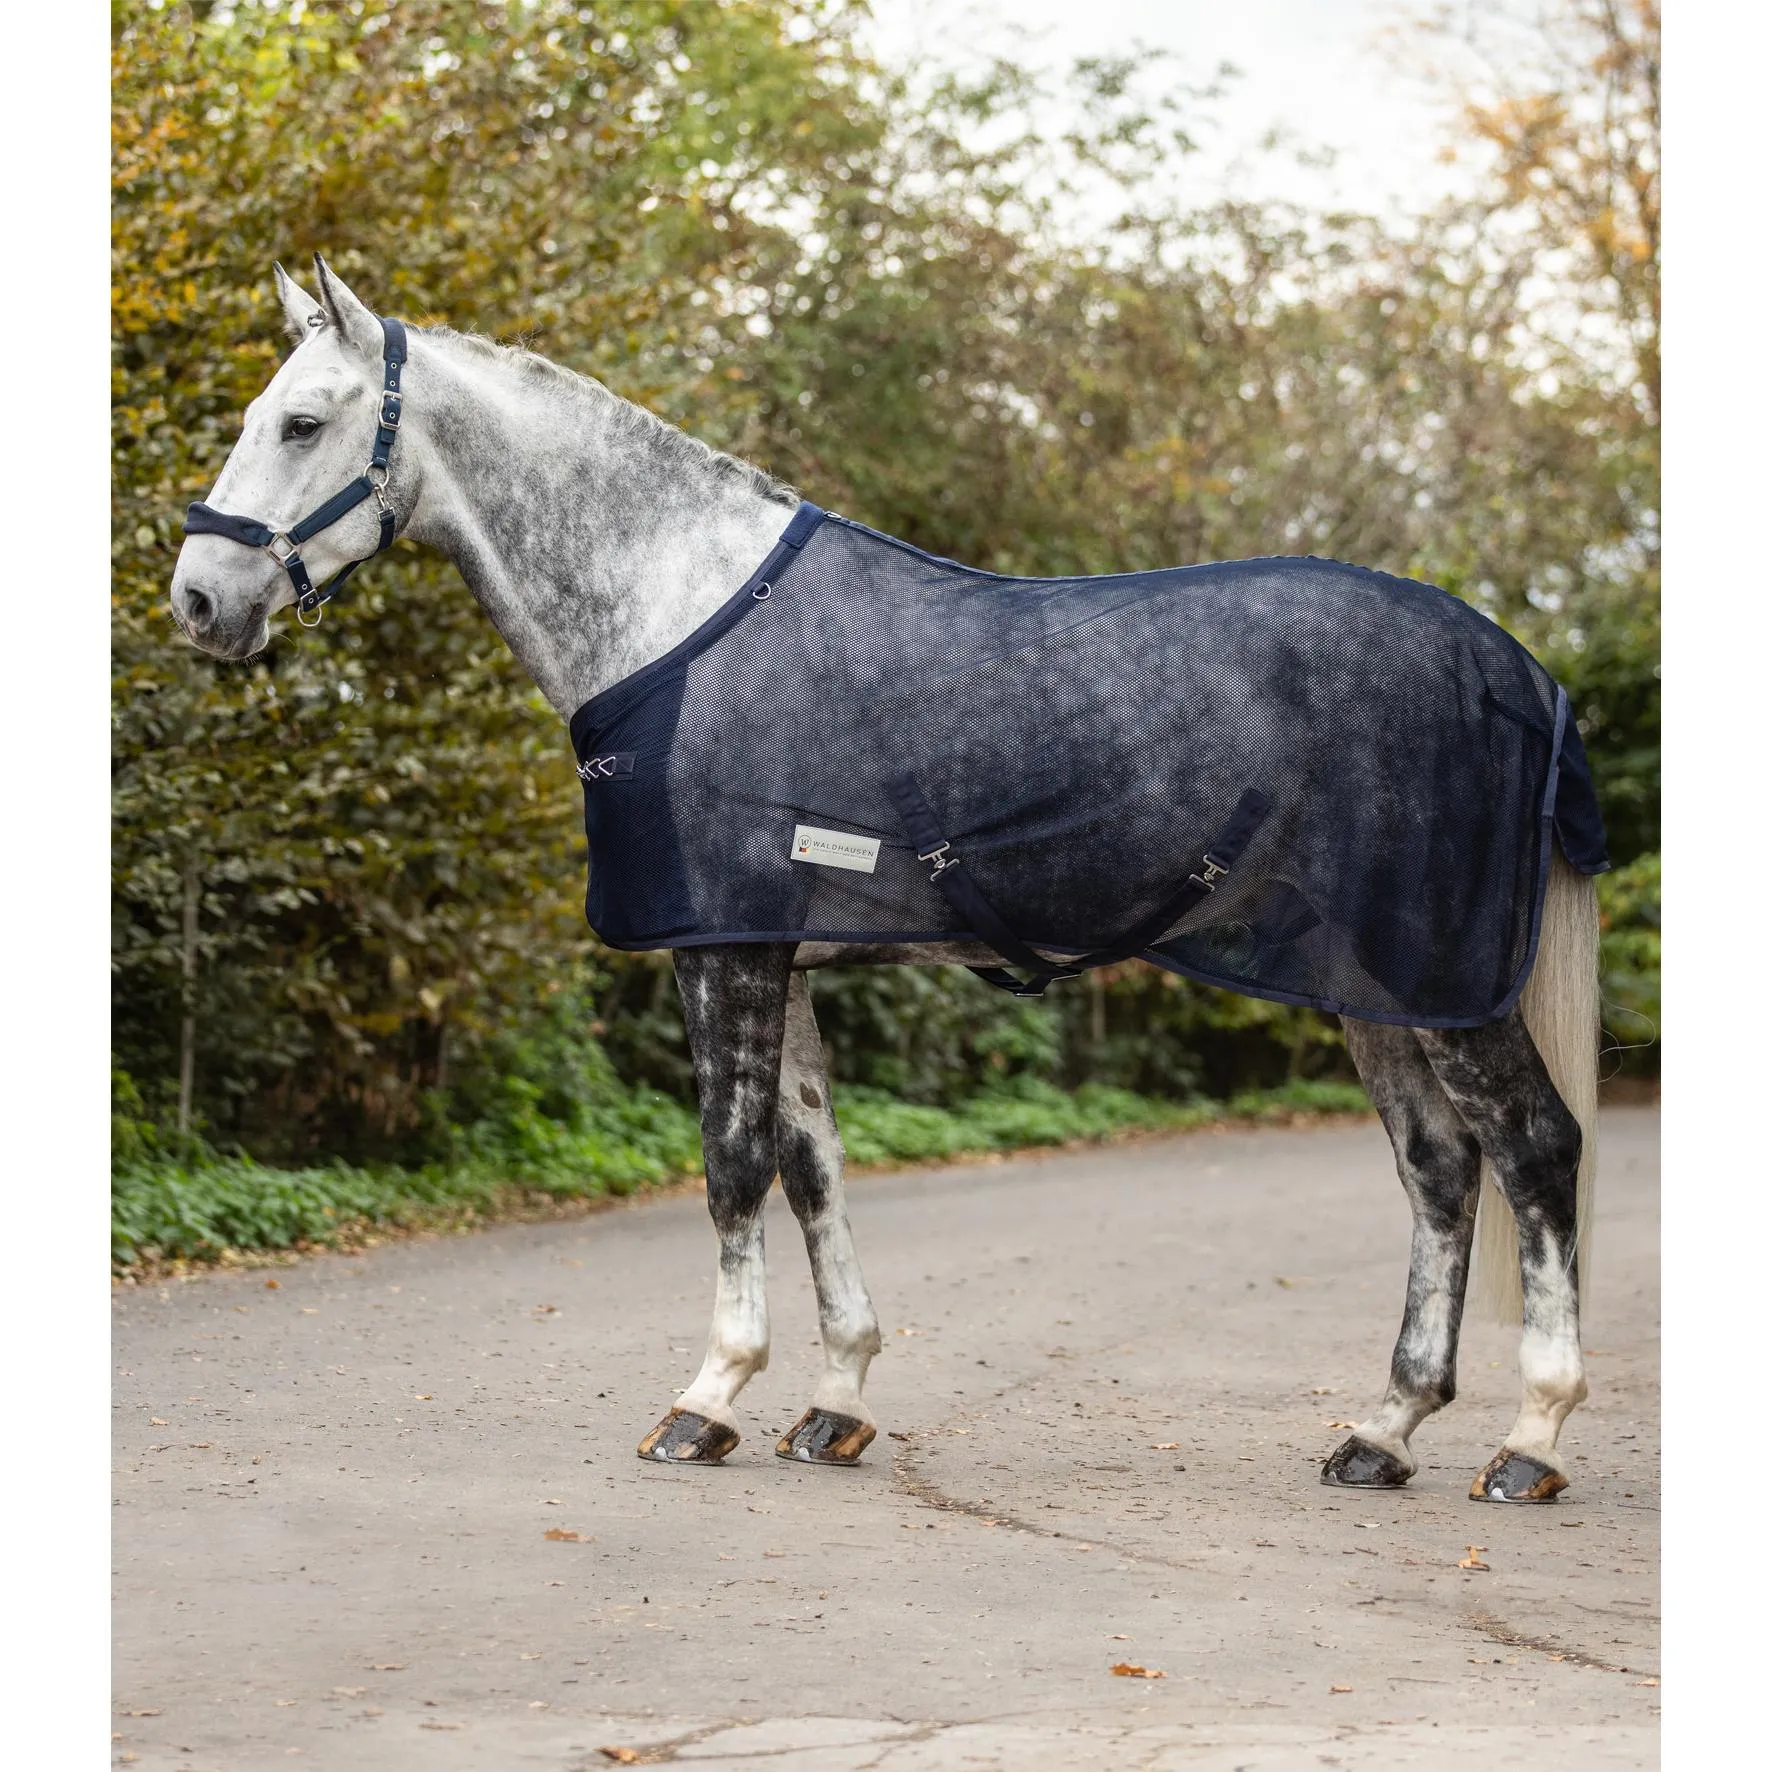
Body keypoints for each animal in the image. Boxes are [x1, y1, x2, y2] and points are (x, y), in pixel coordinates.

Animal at [169, 259, 1601, 1504]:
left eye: (303, 421)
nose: (198, 601)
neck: (678, 610)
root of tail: (1515, 668)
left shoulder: (722, 950)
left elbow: (731, 1160)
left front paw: (707, 1397)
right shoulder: (774, 946)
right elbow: (811, 1164)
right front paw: (834, 1397)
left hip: (1446, 980)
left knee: (1531, 1149)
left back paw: (1528, 1438)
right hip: (1381, 988)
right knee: (1438, 1168)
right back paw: (1383, 1428)